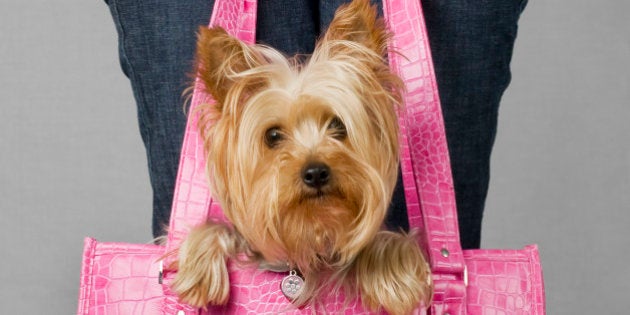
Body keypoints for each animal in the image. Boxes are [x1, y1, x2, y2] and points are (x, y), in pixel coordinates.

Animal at [173, 1, 434, 314]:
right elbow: (214, 226)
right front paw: (195, 270)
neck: (308, 237)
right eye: (273, 135)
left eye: (337, 125)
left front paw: (393, 274)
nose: (316, 173)